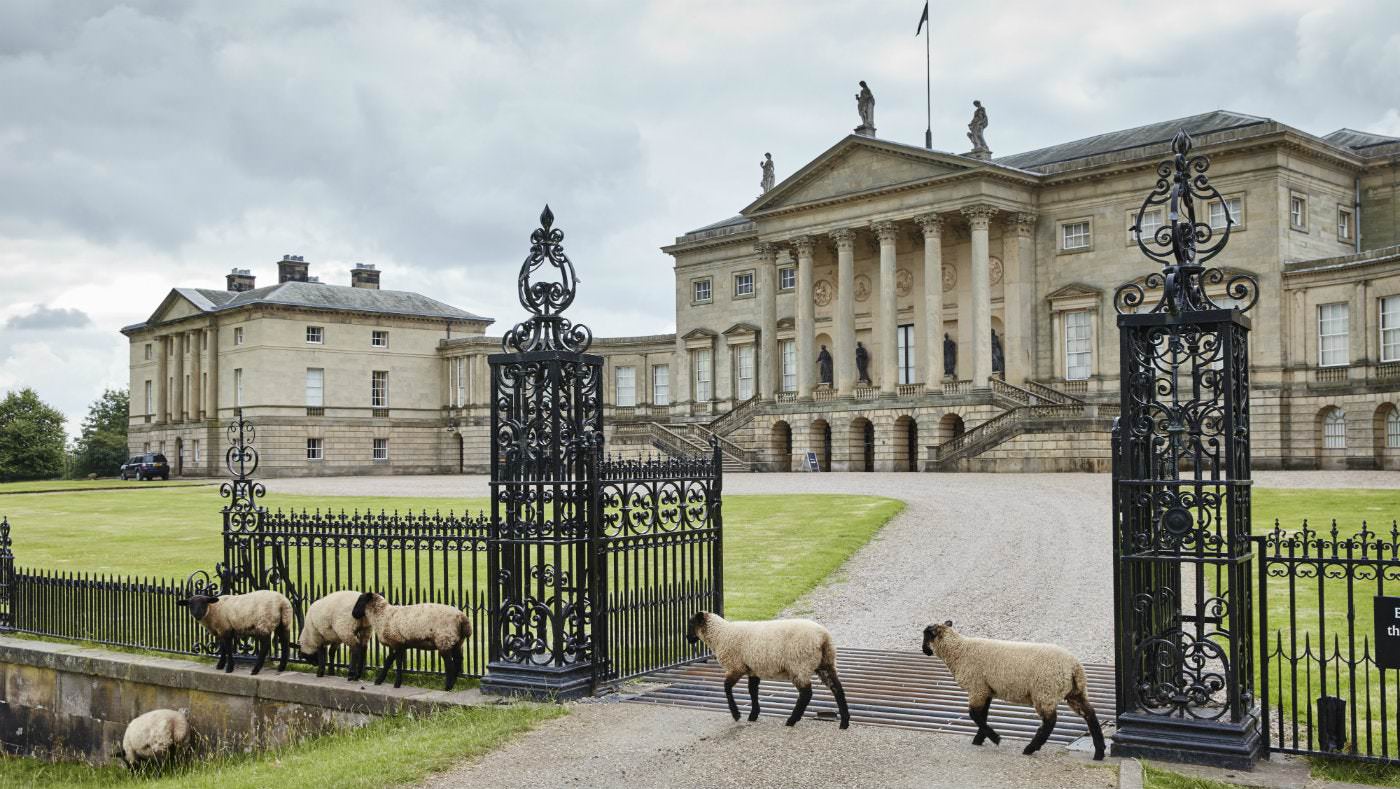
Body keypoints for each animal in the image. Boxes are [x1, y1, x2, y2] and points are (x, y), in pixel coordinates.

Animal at [683, 609, 845, 727]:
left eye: (690, 624)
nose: (687, 638)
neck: (720, 635)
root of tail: (823, 637)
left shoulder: (736, 667)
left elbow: (727, 687)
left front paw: (736, 714)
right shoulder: (752, 669)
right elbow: (753, 691)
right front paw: (753, 714)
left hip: (800, 665)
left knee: (806, 694)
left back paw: (792, 720)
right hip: (825, 663)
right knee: (837, 688)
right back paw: (844, 722)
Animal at [918, 618, 1103, 761]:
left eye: (926, 634)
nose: (924, 651)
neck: (959, 651)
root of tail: (1075, 667)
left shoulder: (977, 687)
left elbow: (975, 715)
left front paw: (995, 738)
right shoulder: (985, 689)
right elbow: (982, 715)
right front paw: (980, 738)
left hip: (1045, 691)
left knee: (1050, 722)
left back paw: (1030, 748)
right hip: (1074, 692)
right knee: (1090, 714)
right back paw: (1099, 752)